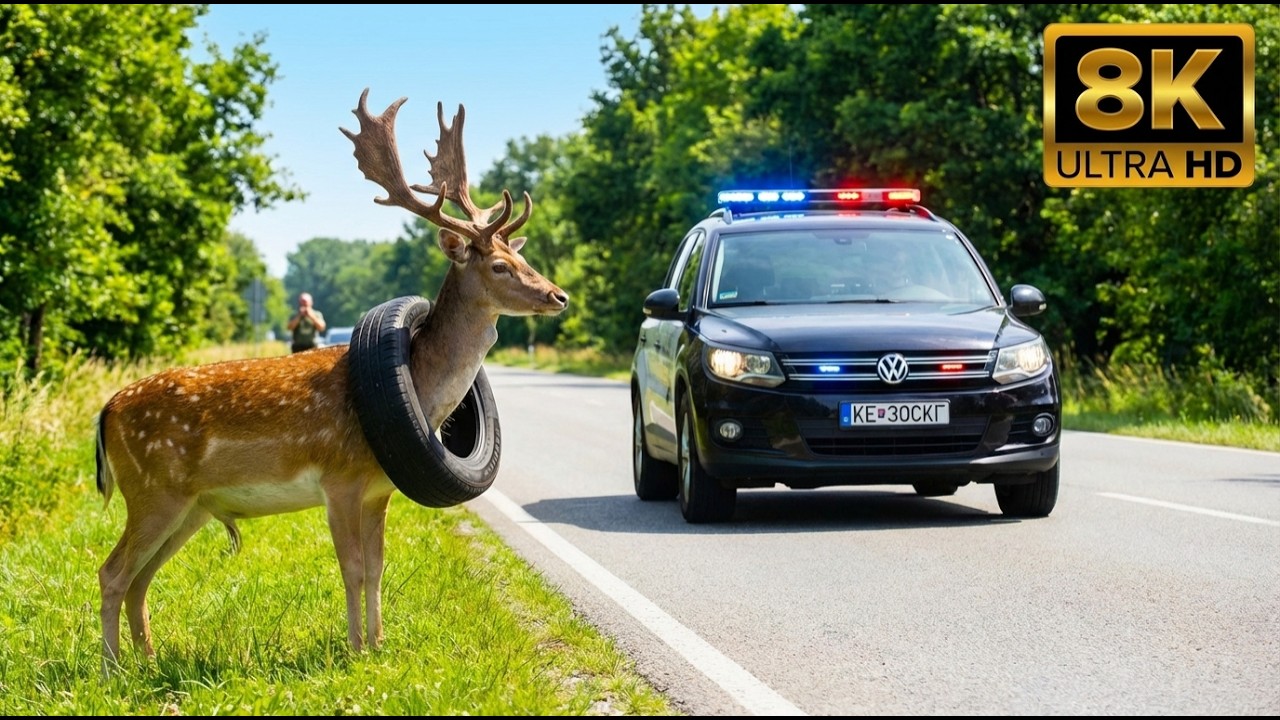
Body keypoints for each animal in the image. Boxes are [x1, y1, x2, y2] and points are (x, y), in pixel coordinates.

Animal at [95, 88, 568, 672]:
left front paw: (380, 644)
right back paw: (113, 672)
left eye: (520, 255)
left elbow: (379, 566)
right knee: (112, 572)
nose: (558, 295)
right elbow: (354, 568)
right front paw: (356, 650)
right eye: (499, 265)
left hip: (189, 506)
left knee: (139, 579)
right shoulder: (338, 479)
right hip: (151, 489)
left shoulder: (378, 490)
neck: (420, 389)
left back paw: (148, 661)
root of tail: (106, 411)